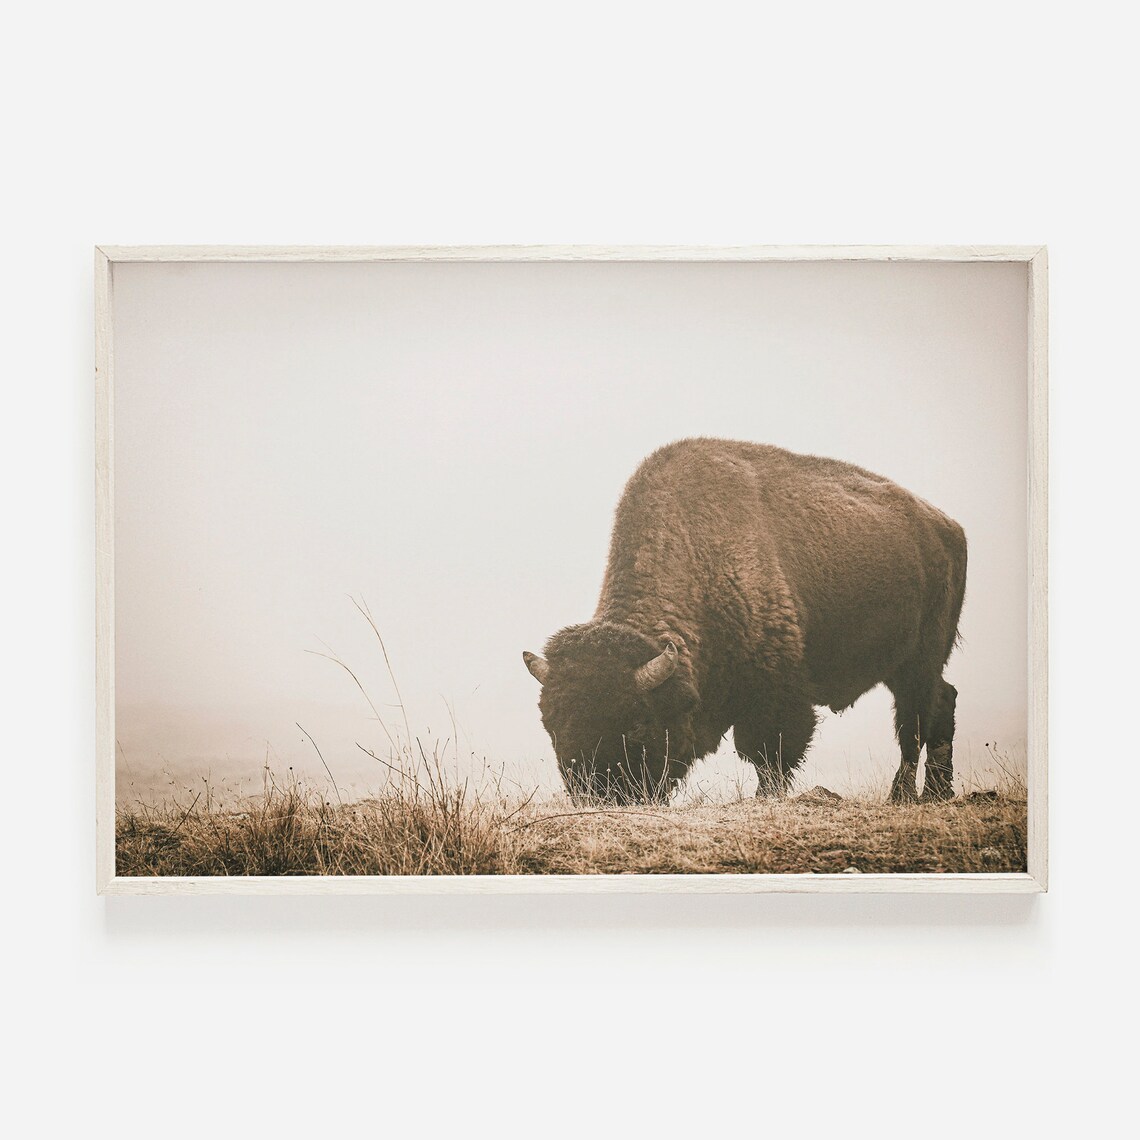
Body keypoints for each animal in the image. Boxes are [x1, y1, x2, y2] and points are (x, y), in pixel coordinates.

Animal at [523, 438, 967, 805]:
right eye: (552, 725)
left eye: (637, 724)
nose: (597, 795)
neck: (698, 554)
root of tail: (948, 527)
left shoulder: (775, 691)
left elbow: (770, 751)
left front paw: (766, 798)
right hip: (912, 665)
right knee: (942, 702)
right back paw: (938, 793)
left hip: (919, 661)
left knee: (914, 723)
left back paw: (903, 795)